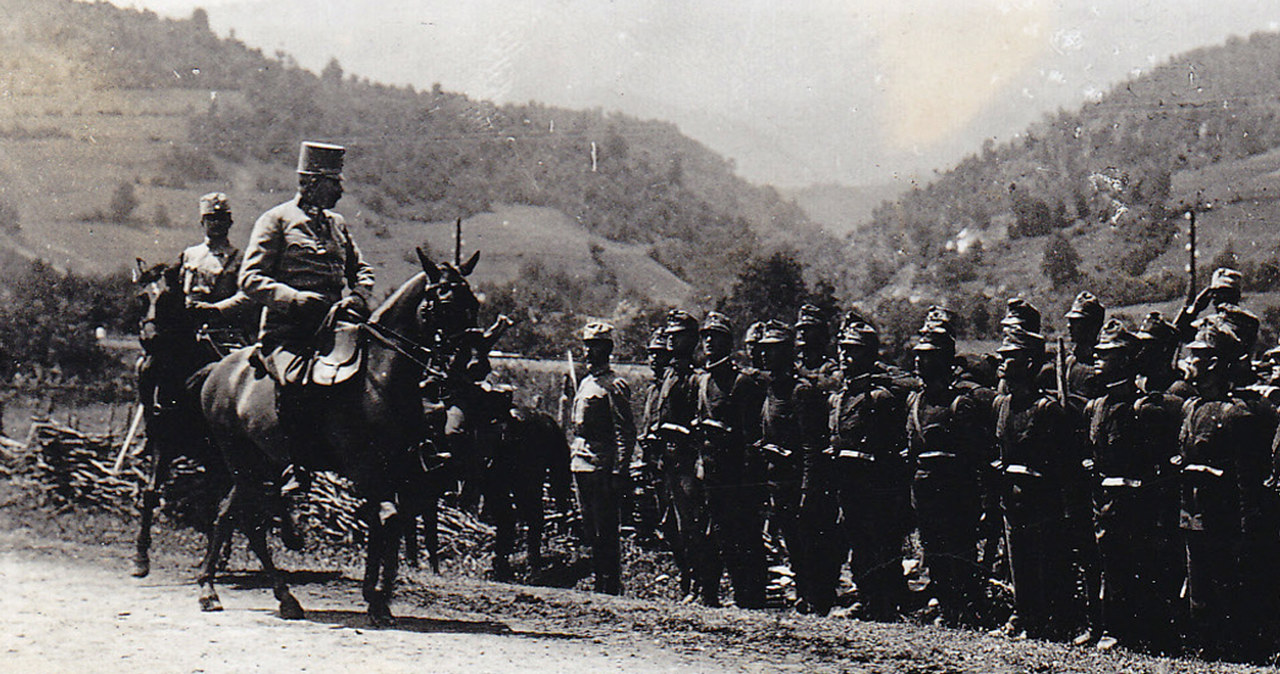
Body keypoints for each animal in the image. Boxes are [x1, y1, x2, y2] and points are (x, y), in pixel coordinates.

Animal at [197, 249, 481, 626]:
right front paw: (377, 598)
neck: (379, 376)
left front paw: (378, 597)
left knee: (227, 514)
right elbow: (388, 521)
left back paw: (213, 588)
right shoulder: (366, 471)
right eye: (446, 302)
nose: (474, 363)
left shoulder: (396, 471)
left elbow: (387, 525)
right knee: (250, 523)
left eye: (474, 303)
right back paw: (277, 597)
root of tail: (218, 370)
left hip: (262, 464)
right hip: (243, 463)